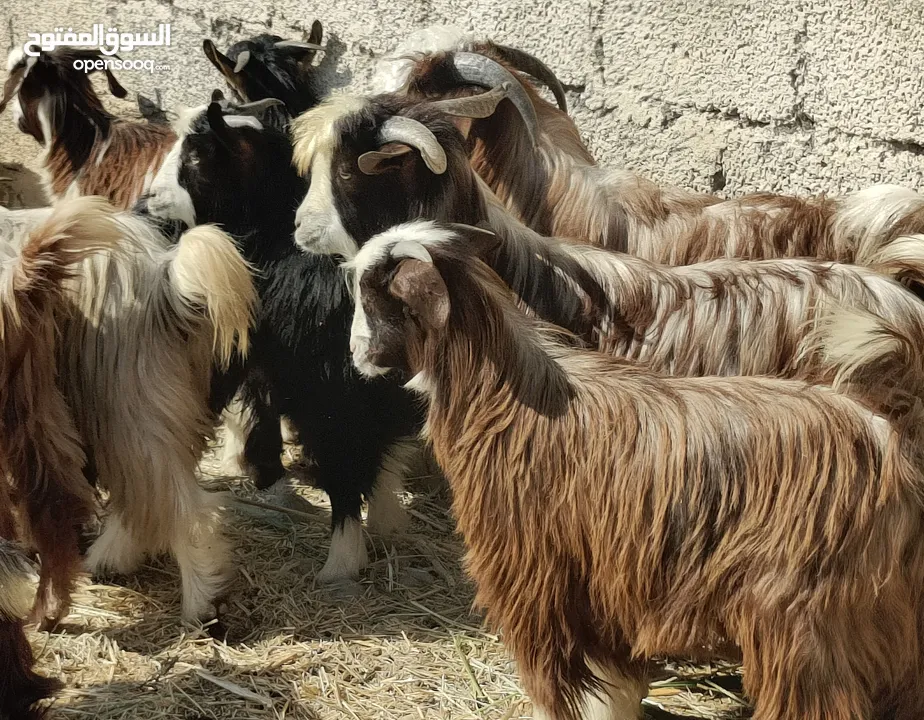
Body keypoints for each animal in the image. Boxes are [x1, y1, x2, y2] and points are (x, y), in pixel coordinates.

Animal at [138, 98, 422, 584]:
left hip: (333, 396)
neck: (265, 230)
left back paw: (339, 565)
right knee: (384, 454)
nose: (150, 198)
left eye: (196, 155)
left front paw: (263, 472)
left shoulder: (261, 358)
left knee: (347, 466)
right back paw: (386, 528)